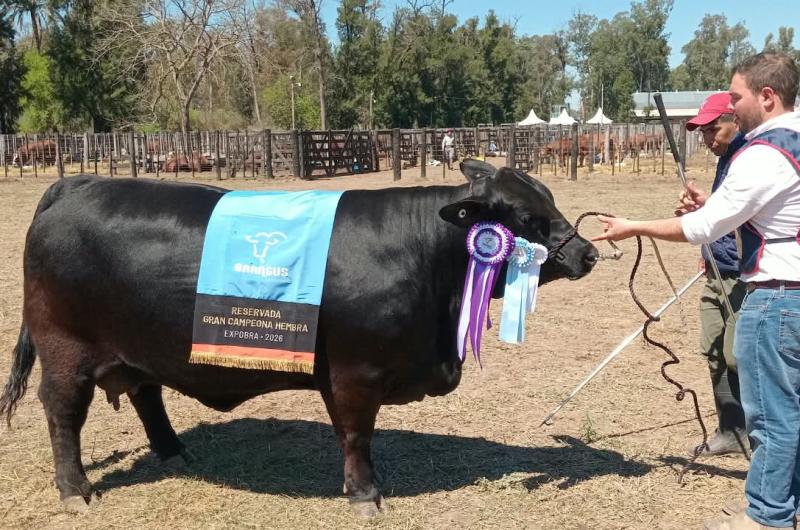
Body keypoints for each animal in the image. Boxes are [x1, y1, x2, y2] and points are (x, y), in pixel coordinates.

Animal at [0, 160, 598, 516]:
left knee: (148, 395)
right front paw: (365, 495)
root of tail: (75, 183)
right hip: (65, 351)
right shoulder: (355, 374)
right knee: (62, 415)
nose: (588, 252)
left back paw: (175, 452)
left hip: (140, 346)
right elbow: (356, 436)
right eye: (526, 216)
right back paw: (75, 491)